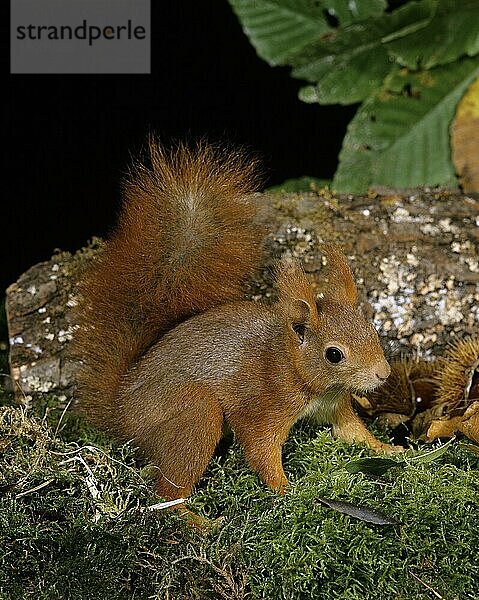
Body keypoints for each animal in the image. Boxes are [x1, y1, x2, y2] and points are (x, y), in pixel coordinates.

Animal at [73, 139, 398, 506]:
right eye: (334, 354)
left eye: (373, 330)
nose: (383, 374)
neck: (291, 367)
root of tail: (120, 410)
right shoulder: (261, 406)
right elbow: (260, 449)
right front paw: (287, 490)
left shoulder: (333, 404)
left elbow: (354, 433)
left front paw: (392, 450)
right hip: (196, 413)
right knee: (166, 494)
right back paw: (196, 518)